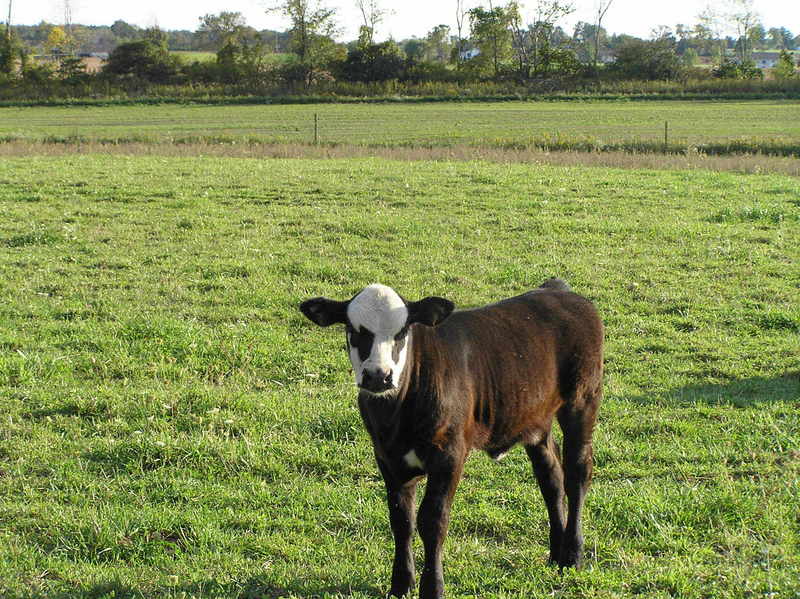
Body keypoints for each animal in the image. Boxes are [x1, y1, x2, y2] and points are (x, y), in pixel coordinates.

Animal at [300, 280, 600, 599]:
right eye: (355, 330)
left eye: (402, 331)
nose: (379, 376)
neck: (395, 418)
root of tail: (557, 290)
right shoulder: (387, 457)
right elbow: (401, 520)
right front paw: (401, 584)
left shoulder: (449, 454)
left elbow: (433, 520)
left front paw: (433, 587)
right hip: (535, 418)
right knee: (551, 478)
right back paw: (556, 553)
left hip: (582, 401)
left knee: (577, 474)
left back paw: (573, 555)